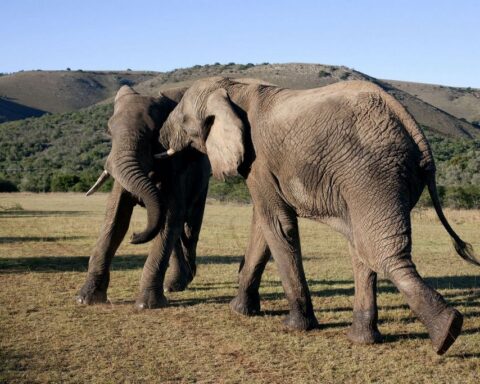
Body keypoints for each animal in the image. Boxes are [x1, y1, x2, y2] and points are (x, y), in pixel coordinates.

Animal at [77, 85, 210, 308]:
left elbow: (171, 217)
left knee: (190, 228)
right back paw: (175, 284)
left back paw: (183, 280)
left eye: (154, 134)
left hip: (202, 184)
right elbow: (115, 218)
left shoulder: (177, 168)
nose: (134, 236)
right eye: (109, 132)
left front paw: (147, 305)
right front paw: (85, 299)